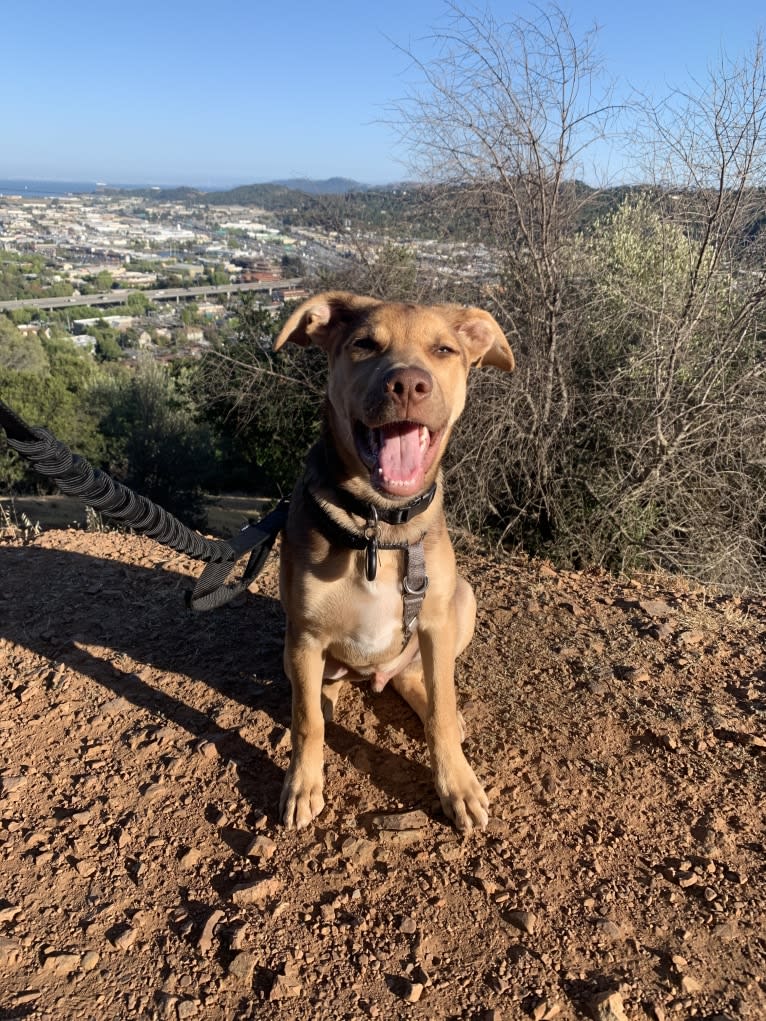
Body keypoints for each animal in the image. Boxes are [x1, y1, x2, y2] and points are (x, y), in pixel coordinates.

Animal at [271, 294, 516, 829]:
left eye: (444, 349)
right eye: (365, 344)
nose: (408, 384)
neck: (377, 527)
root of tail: (372, 675)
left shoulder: (436, 624)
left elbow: (441, 711)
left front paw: (456, 785)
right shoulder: (304, 633)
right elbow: (307, 721)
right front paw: (302, 784)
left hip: (461, 602)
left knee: (417, 680)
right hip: (296, 649)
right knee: (319, 695)